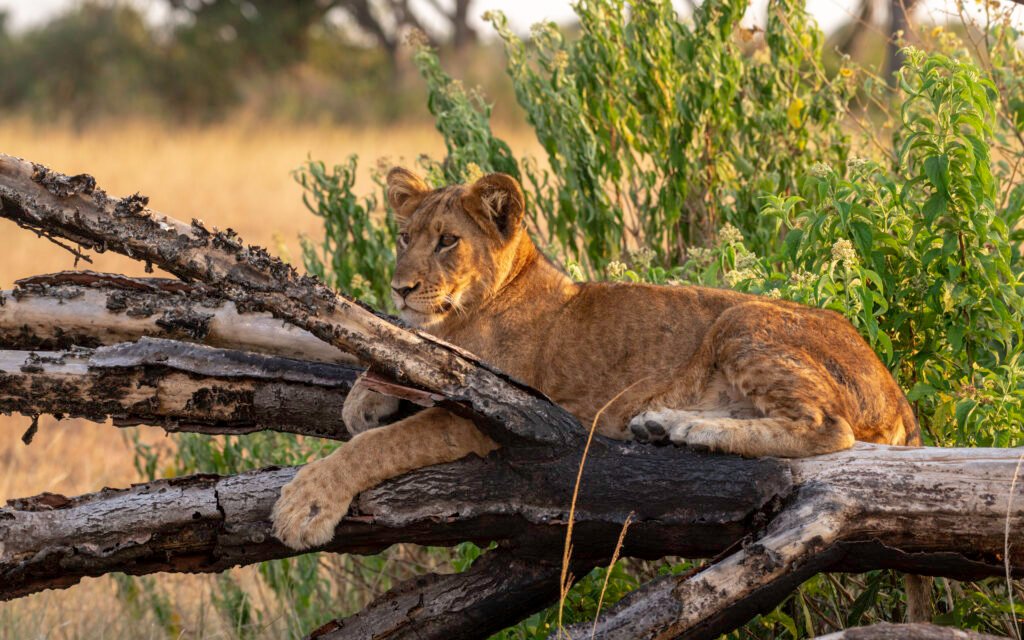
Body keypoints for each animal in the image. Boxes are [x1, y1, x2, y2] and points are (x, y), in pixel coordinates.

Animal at [270, 167, 919, 548]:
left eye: (448, 241)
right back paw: (665, 425)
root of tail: (899, 393)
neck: (470, 310)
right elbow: (395, 361)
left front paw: (307, 504)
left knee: (826, 427)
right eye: (405, 238)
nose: (400, 288)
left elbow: (379, 445)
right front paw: (364, 397)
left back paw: (685, 429)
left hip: (740, 321)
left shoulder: (489, 409)